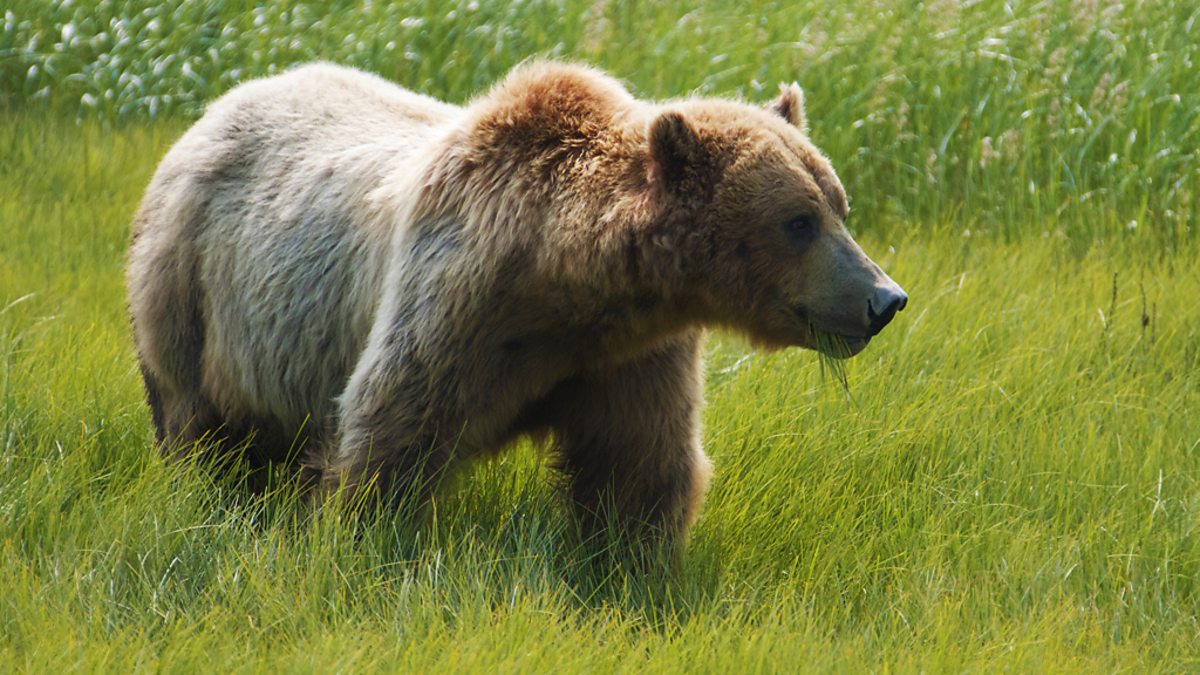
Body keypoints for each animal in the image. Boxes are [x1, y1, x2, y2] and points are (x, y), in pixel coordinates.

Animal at [126, 61, 906, 556]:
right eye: (798, 221)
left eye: (839, 206)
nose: (884, 299)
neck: (569, 289)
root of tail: (214, 110)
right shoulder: (456, 306)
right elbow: (391, 430)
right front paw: (363, 538)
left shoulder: (629, 356)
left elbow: (638, 464)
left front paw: (633, 565)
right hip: (192, 289)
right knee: (195, 422)